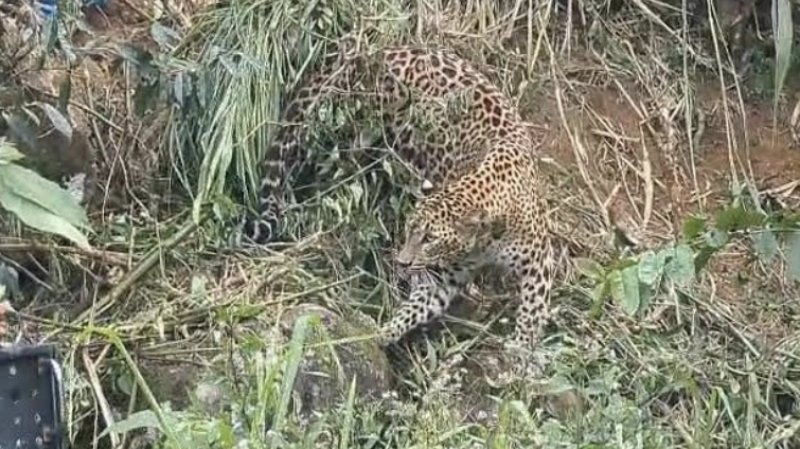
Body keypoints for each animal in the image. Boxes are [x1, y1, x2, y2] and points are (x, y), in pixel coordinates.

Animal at [243, 40, 557, 352]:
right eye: (409, 230)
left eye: (430, 239)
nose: (403, 262)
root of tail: (377, 52)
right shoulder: (444, 276)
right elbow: (416, 306)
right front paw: (380, 333)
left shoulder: (537, 258)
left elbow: (533, 309)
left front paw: (522, 349)